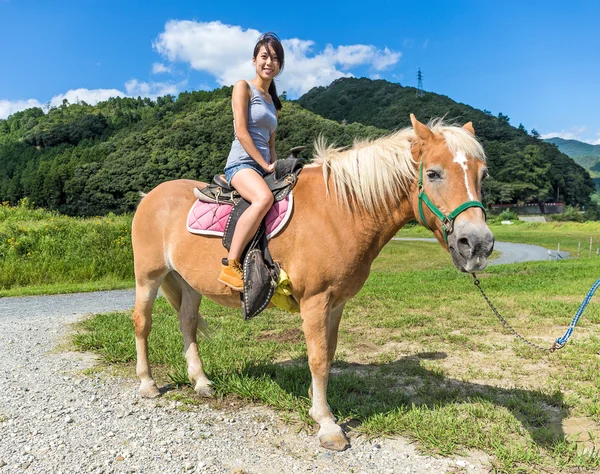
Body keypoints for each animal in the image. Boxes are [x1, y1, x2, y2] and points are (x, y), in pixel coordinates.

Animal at [134, 115, 494, 452]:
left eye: (483, 175)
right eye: (433, 173)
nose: (477, 244)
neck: (341, 210)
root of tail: (149, 195)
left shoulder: (336, 302)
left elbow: (328, 353)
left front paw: (315, 401)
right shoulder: (315, 300)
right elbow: (318, 357)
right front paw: (327, 423)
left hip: (189, 283)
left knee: (187, 323)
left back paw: (201, 381)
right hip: (148, 277)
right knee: (142, 323)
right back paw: (148, 383)